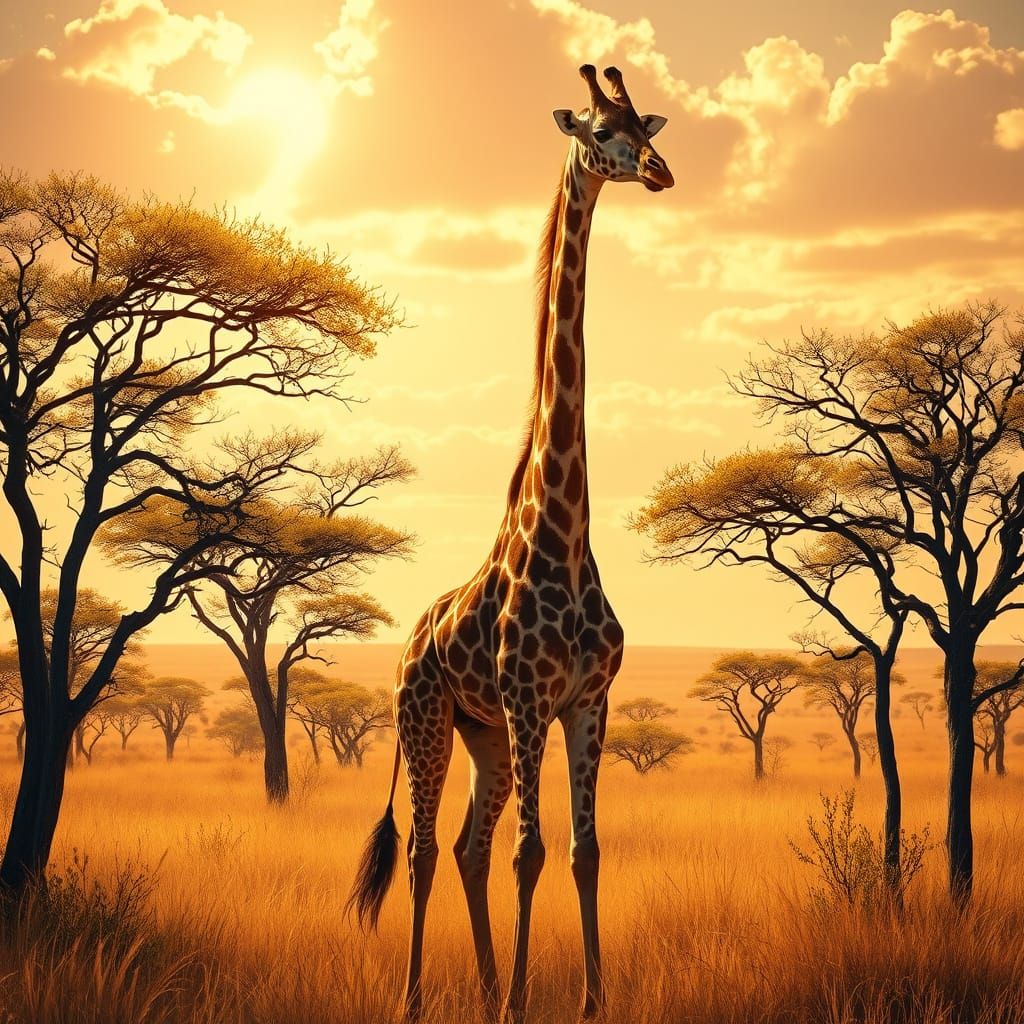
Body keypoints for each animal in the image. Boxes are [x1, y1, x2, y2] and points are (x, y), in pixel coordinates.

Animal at [348, 64, 673, 1024]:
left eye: (645, 125)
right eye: (599, 131)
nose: (659, 171)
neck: (564, 532)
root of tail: (408, 642)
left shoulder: (588, 701)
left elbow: (581, 851)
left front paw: (587, 1002)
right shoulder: (532, 701)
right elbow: (534, 853)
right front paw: (525, 1003)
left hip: (482, 736)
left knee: (467, 848)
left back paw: (488, 983)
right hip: (426, 719)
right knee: (426, 851)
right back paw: (419, 998)